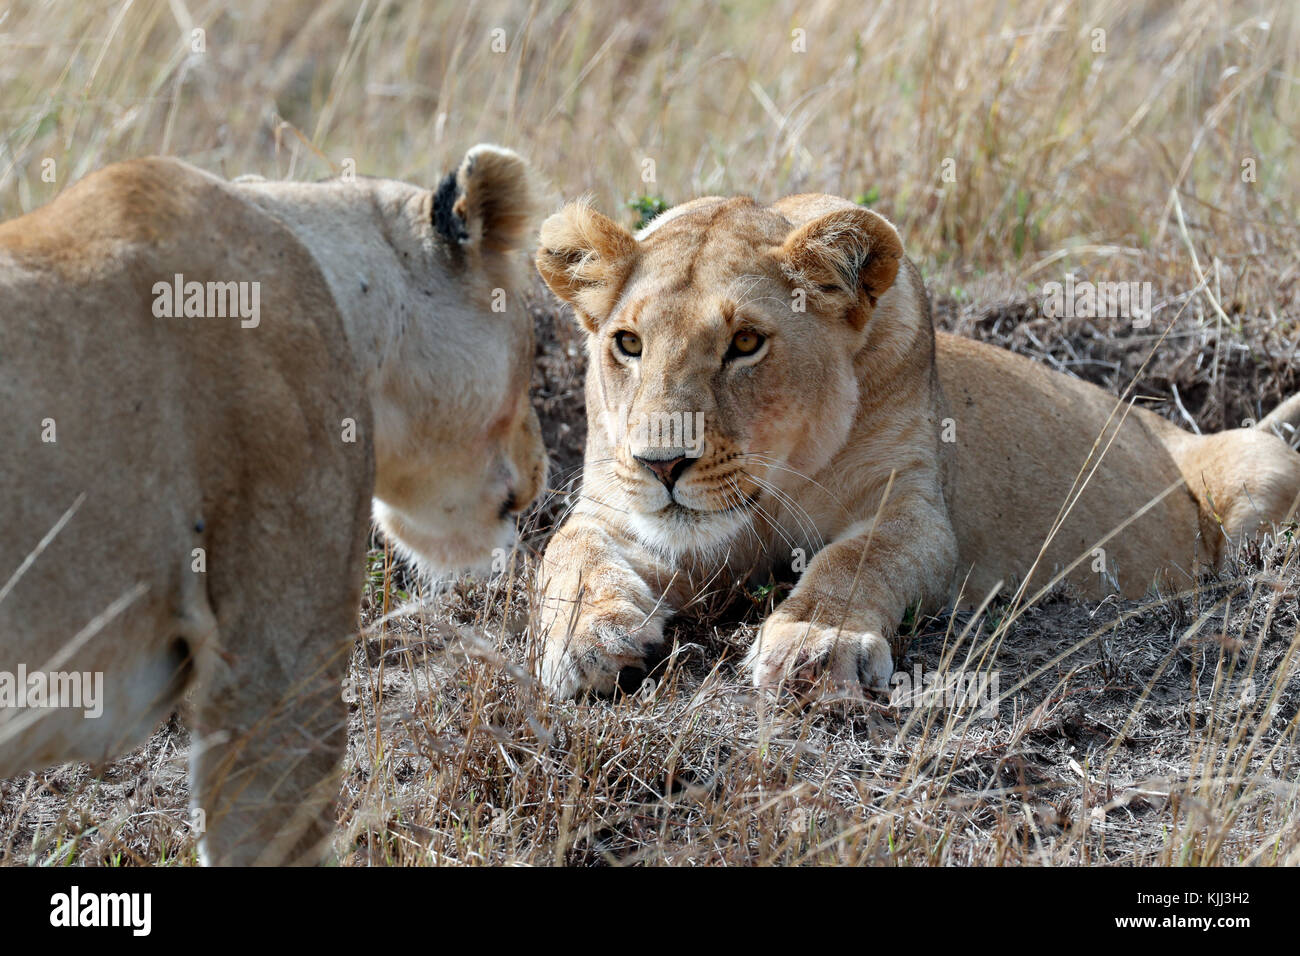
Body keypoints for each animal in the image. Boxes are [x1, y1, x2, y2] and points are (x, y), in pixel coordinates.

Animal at [532, 193, 1300, 698]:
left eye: (746, 343)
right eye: (628, 343)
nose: (661, 463)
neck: (782, 474)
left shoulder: (915, 510)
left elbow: (854, 562)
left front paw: (816, 644)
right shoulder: (616, 509)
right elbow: (568, 553)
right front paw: (587, 640)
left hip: (1261, 472)